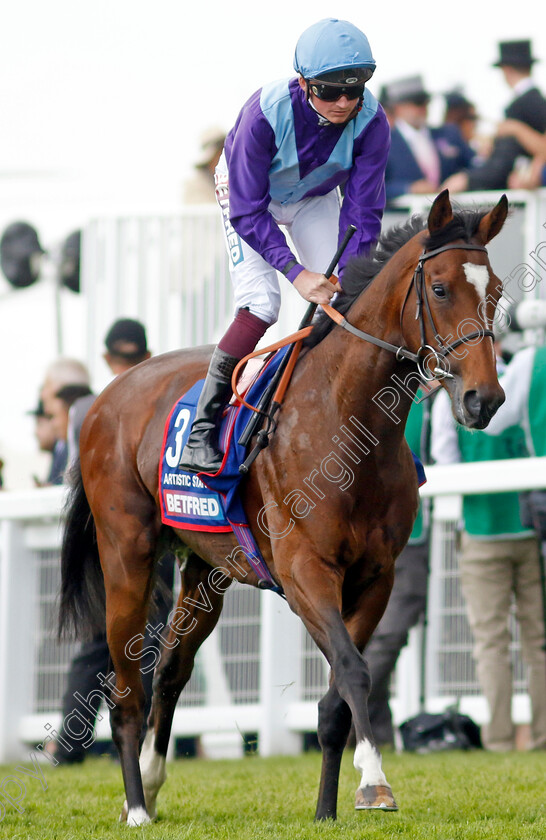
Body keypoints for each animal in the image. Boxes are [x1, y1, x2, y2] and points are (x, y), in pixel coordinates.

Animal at [58, 192, 506, 828]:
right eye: (440, 288)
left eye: (495, 290)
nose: (482, 399)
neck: (347, 423)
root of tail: (105, 397)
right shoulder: (304, 572)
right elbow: (354, 670)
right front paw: (375, 783)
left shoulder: (375, 577)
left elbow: (338, 693)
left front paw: (329, 807)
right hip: (127, 557)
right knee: (125, 689)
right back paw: (137, 807)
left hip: (207, 570)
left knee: (170, 669)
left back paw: (152, 779)